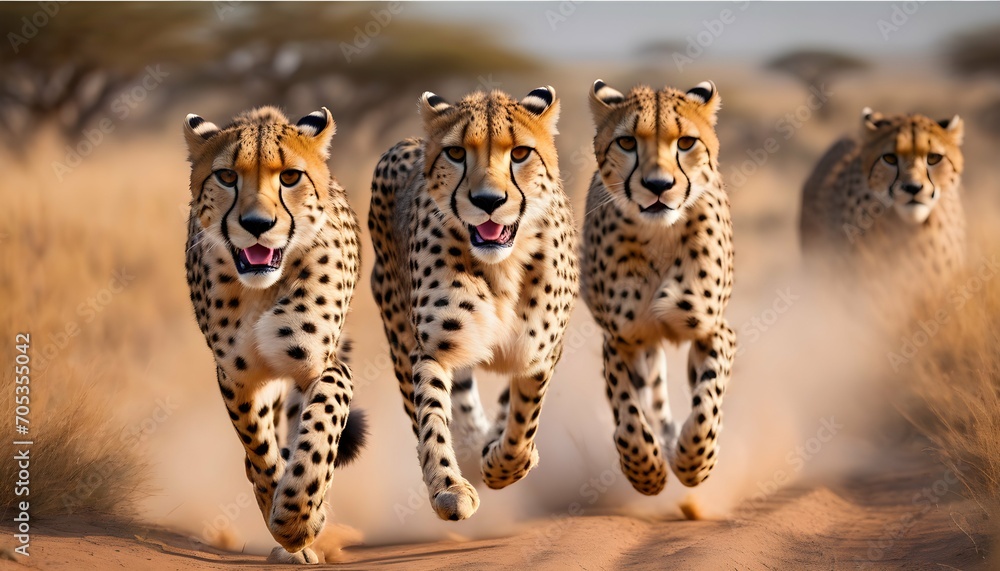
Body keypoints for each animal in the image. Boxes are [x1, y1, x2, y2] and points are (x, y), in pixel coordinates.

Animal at [183, 106, 365, 564]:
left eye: (290, 177)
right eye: (227, 176)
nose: (257, 224)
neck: (263, 287)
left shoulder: (321, 365)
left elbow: (320, 430)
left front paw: (299, 518)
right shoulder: (239, 377)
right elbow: (260, 449)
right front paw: (287, 519)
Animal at [367, 87, 578, 521]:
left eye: (520, 153)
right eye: (456, 153)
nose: (488, 200)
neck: (502, 266)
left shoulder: (539, 353)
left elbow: (523, 418)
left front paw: (504, 464)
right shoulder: (434, 346)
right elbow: (432, 416)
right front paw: (450, 487)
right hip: (396, 325)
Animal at [581, 80, 735, 495]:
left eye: (685, 143)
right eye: (627, 142)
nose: (658, 186)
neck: (659, 235)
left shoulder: (714, 330)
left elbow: (707, 404)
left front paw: (694, 461)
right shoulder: (622, 340)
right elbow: (628, 412)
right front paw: (645, 471)